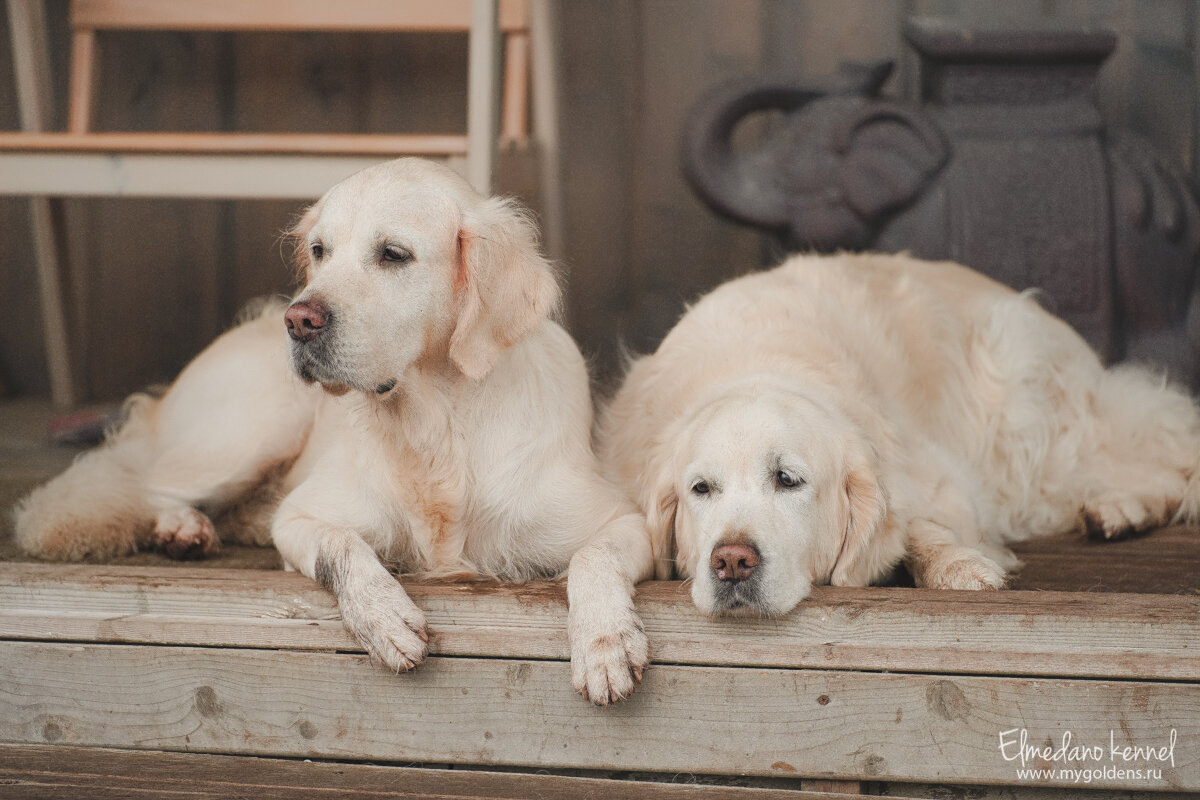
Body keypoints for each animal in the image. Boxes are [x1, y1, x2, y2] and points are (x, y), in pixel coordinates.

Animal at [14, 154, 652, 695]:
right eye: (320, 250)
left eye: (393, 253)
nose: (299, 320)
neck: (436, 424)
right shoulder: (301, 516)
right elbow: (340, 546)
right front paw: (384, 617)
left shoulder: (623, 521)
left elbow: (592, 559)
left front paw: (604, 644)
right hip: (253, 429)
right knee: (146, 483)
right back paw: (183, 528)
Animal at [600, 250, 1200, 618]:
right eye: (701, 489)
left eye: (787, 479)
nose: (730, 561)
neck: (756, 363)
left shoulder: (938, 480)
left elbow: (920, 528)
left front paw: (958, 566)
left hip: (1028, 433)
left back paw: (1123, 507)